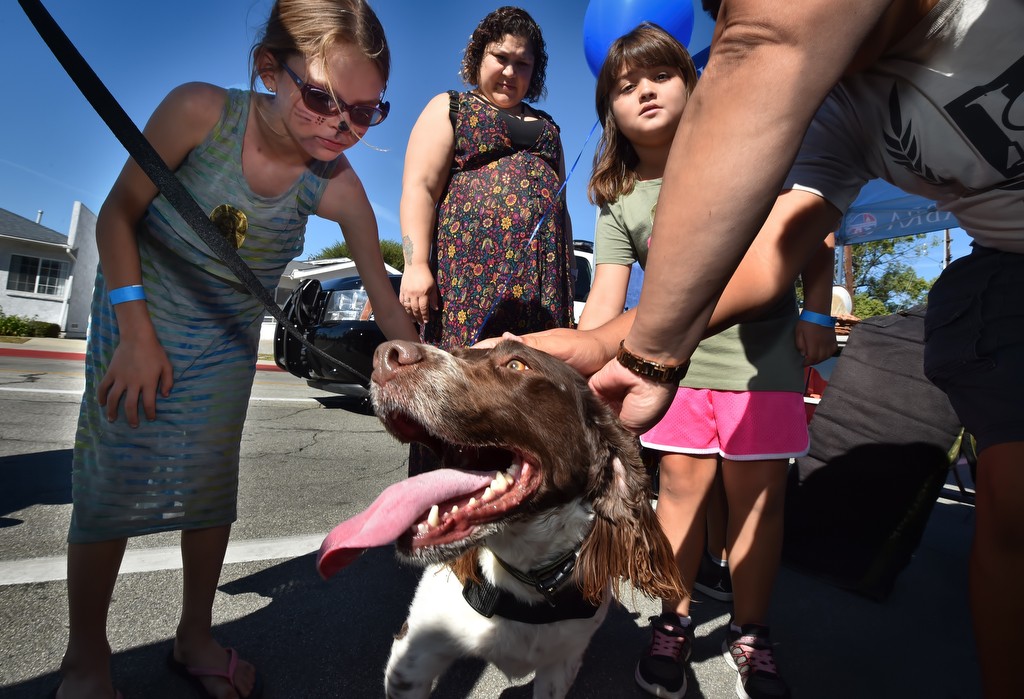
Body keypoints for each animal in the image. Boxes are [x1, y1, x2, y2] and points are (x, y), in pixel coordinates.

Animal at [315, 337, 684, 695]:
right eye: (457, 351)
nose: (385, 356)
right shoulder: (413, 657)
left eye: (517, 365)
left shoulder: (561, 665)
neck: (523, 576)